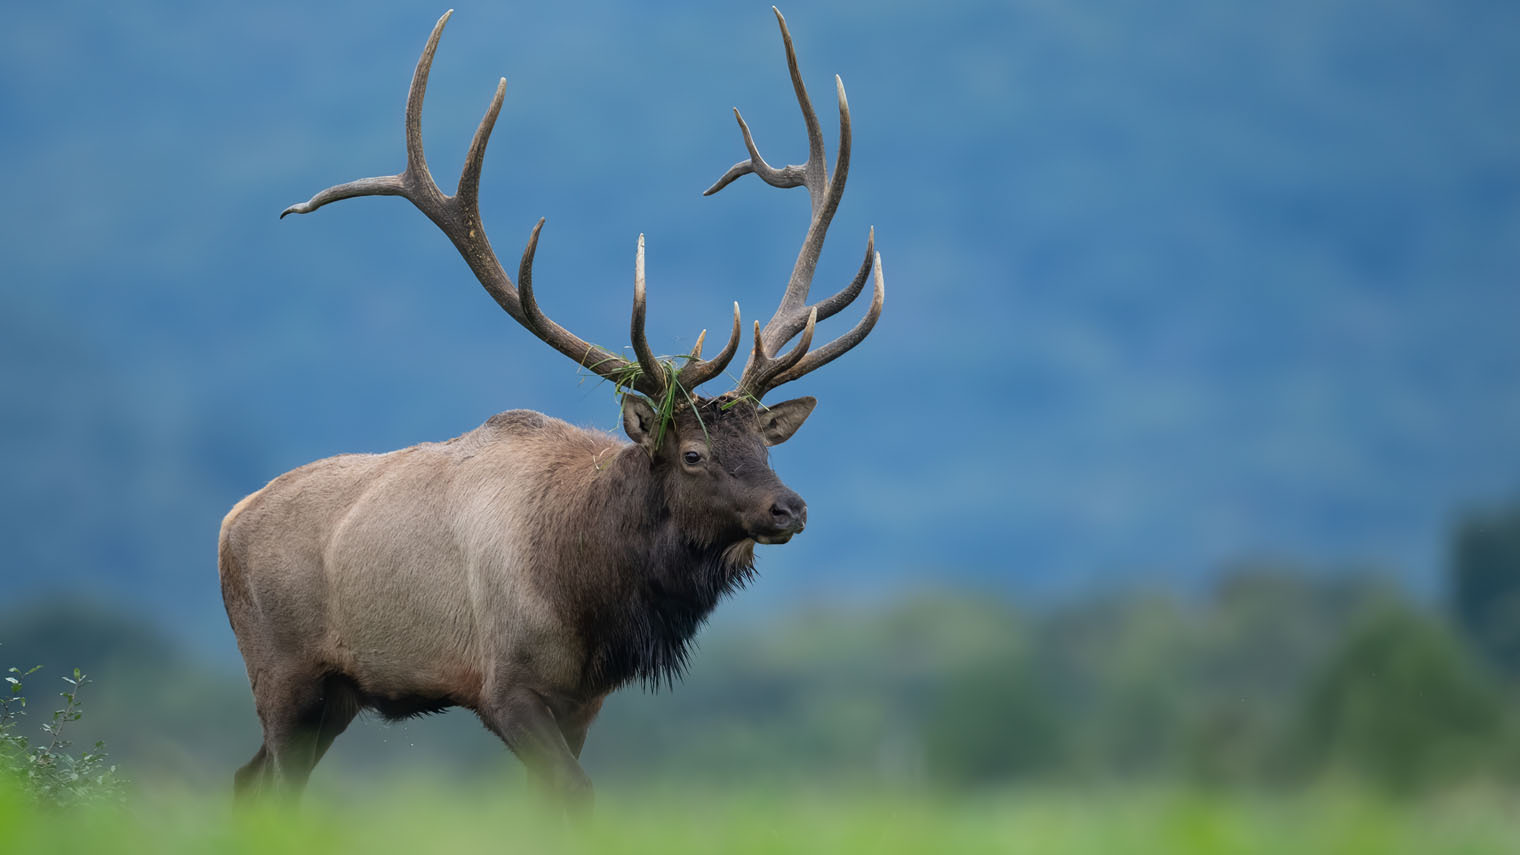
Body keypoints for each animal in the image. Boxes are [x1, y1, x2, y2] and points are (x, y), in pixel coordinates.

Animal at [219, 8, 883, 807]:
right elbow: (577, 796)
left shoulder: (582, 701)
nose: (789, 507)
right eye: (692, 454)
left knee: (249, 780)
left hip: (337, 693)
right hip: (284, 672)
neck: (590, 594)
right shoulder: (506, 685)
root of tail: (227, 524)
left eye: (766, 444)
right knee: (270, 776)